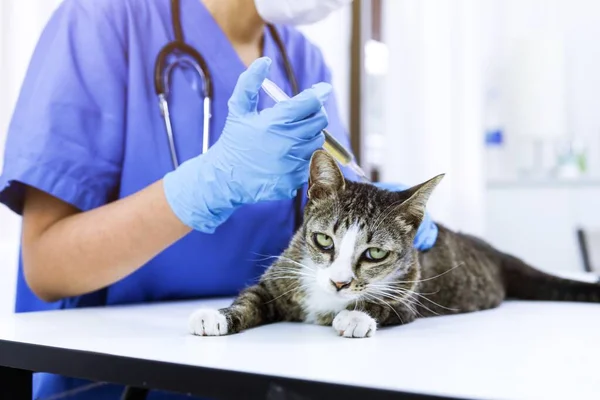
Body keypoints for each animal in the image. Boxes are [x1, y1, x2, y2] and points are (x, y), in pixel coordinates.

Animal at [189, 148, 600, 336]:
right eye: (323, 240)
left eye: (374, 253)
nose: (339, 282)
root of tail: (497, 254)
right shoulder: (283, 274)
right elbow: (253, 297)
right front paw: (218, 315)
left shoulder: (410, 292)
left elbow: (386, 305)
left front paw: (355, 316)